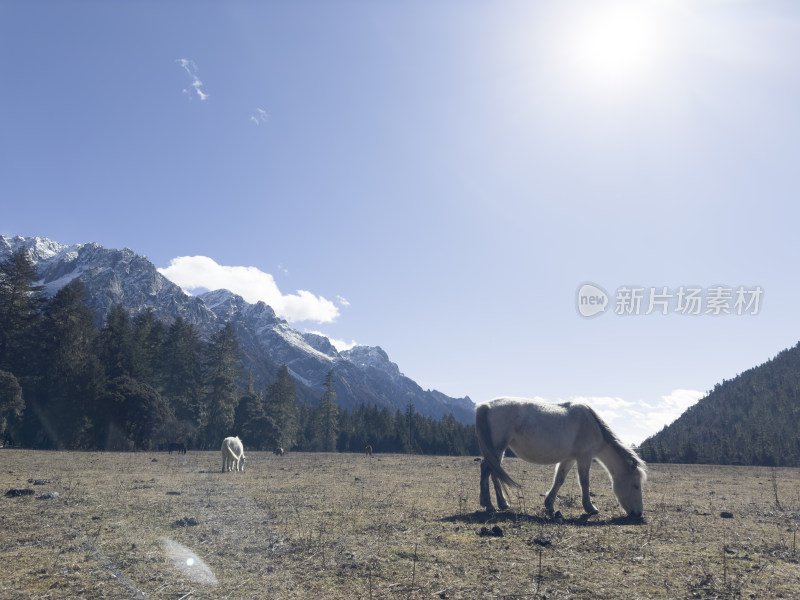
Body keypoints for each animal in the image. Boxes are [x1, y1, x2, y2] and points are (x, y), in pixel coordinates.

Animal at [476, 396, 644, 516]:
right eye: (636, 485)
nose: (638, 513)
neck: (591, 424)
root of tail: (486, 405)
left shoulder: (569, 459)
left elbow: (559, 479)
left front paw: (549, 504)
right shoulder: (584, 457)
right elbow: (584, 481)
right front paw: (590, 508)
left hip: (498, 450)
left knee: (493, 472)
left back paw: (502, 504)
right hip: (498, 447)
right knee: (487, 469)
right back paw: (489, 505)